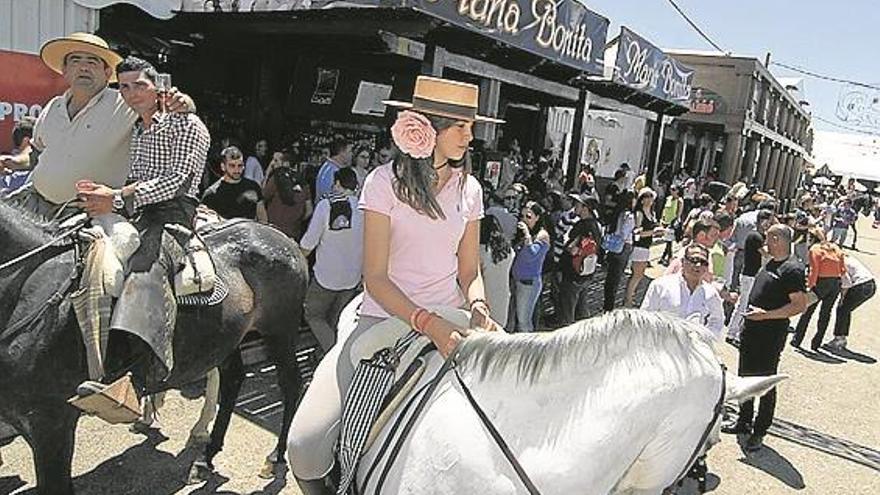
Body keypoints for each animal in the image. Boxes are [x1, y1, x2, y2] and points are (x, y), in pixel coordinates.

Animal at [0, 200, 310, 494]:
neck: (31, 291)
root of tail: (280, 236)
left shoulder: (51, 425)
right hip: (226, 337)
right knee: (232, 380)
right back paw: (205, 457)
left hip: (279, 331)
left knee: (290, 384)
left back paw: (274, 457)